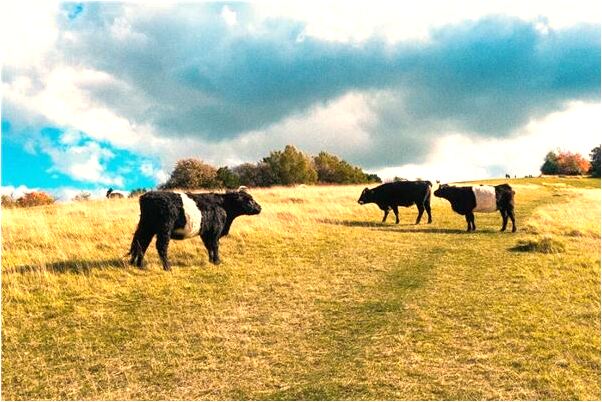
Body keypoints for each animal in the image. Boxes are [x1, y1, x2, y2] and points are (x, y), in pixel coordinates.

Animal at [129, 189, 260, 270]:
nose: (260, 208)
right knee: (161, 246)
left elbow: (209, 247)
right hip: (164, 229)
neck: (223, 206)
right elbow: (215, 246)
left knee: (142, 244)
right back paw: (168, 267)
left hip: (147, 228)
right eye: (249, 200)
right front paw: (217, 262)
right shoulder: (215, 232)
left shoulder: (206, 233)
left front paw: (211, 261)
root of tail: (146, 196)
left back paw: (139, 265)